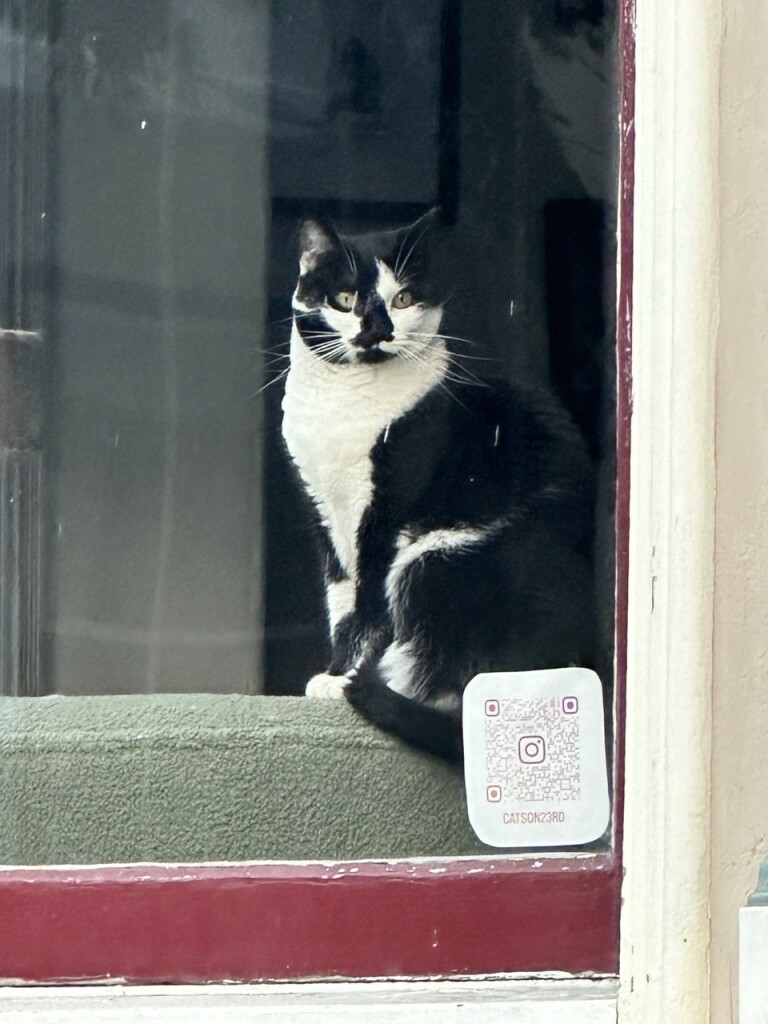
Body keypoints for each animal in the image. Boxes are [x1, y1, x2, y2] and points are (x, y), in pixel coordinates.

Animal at [280, 211, 593, 765]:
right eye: (345, 299)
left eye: (403, 299)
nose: (377, 329)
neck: (341, 406)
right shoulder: (325, 516)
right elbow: (340, 600)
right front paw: (335, 671)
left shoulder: (384, 515)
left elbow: (368, 608)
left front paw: (343, 677)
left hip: (436, 558)